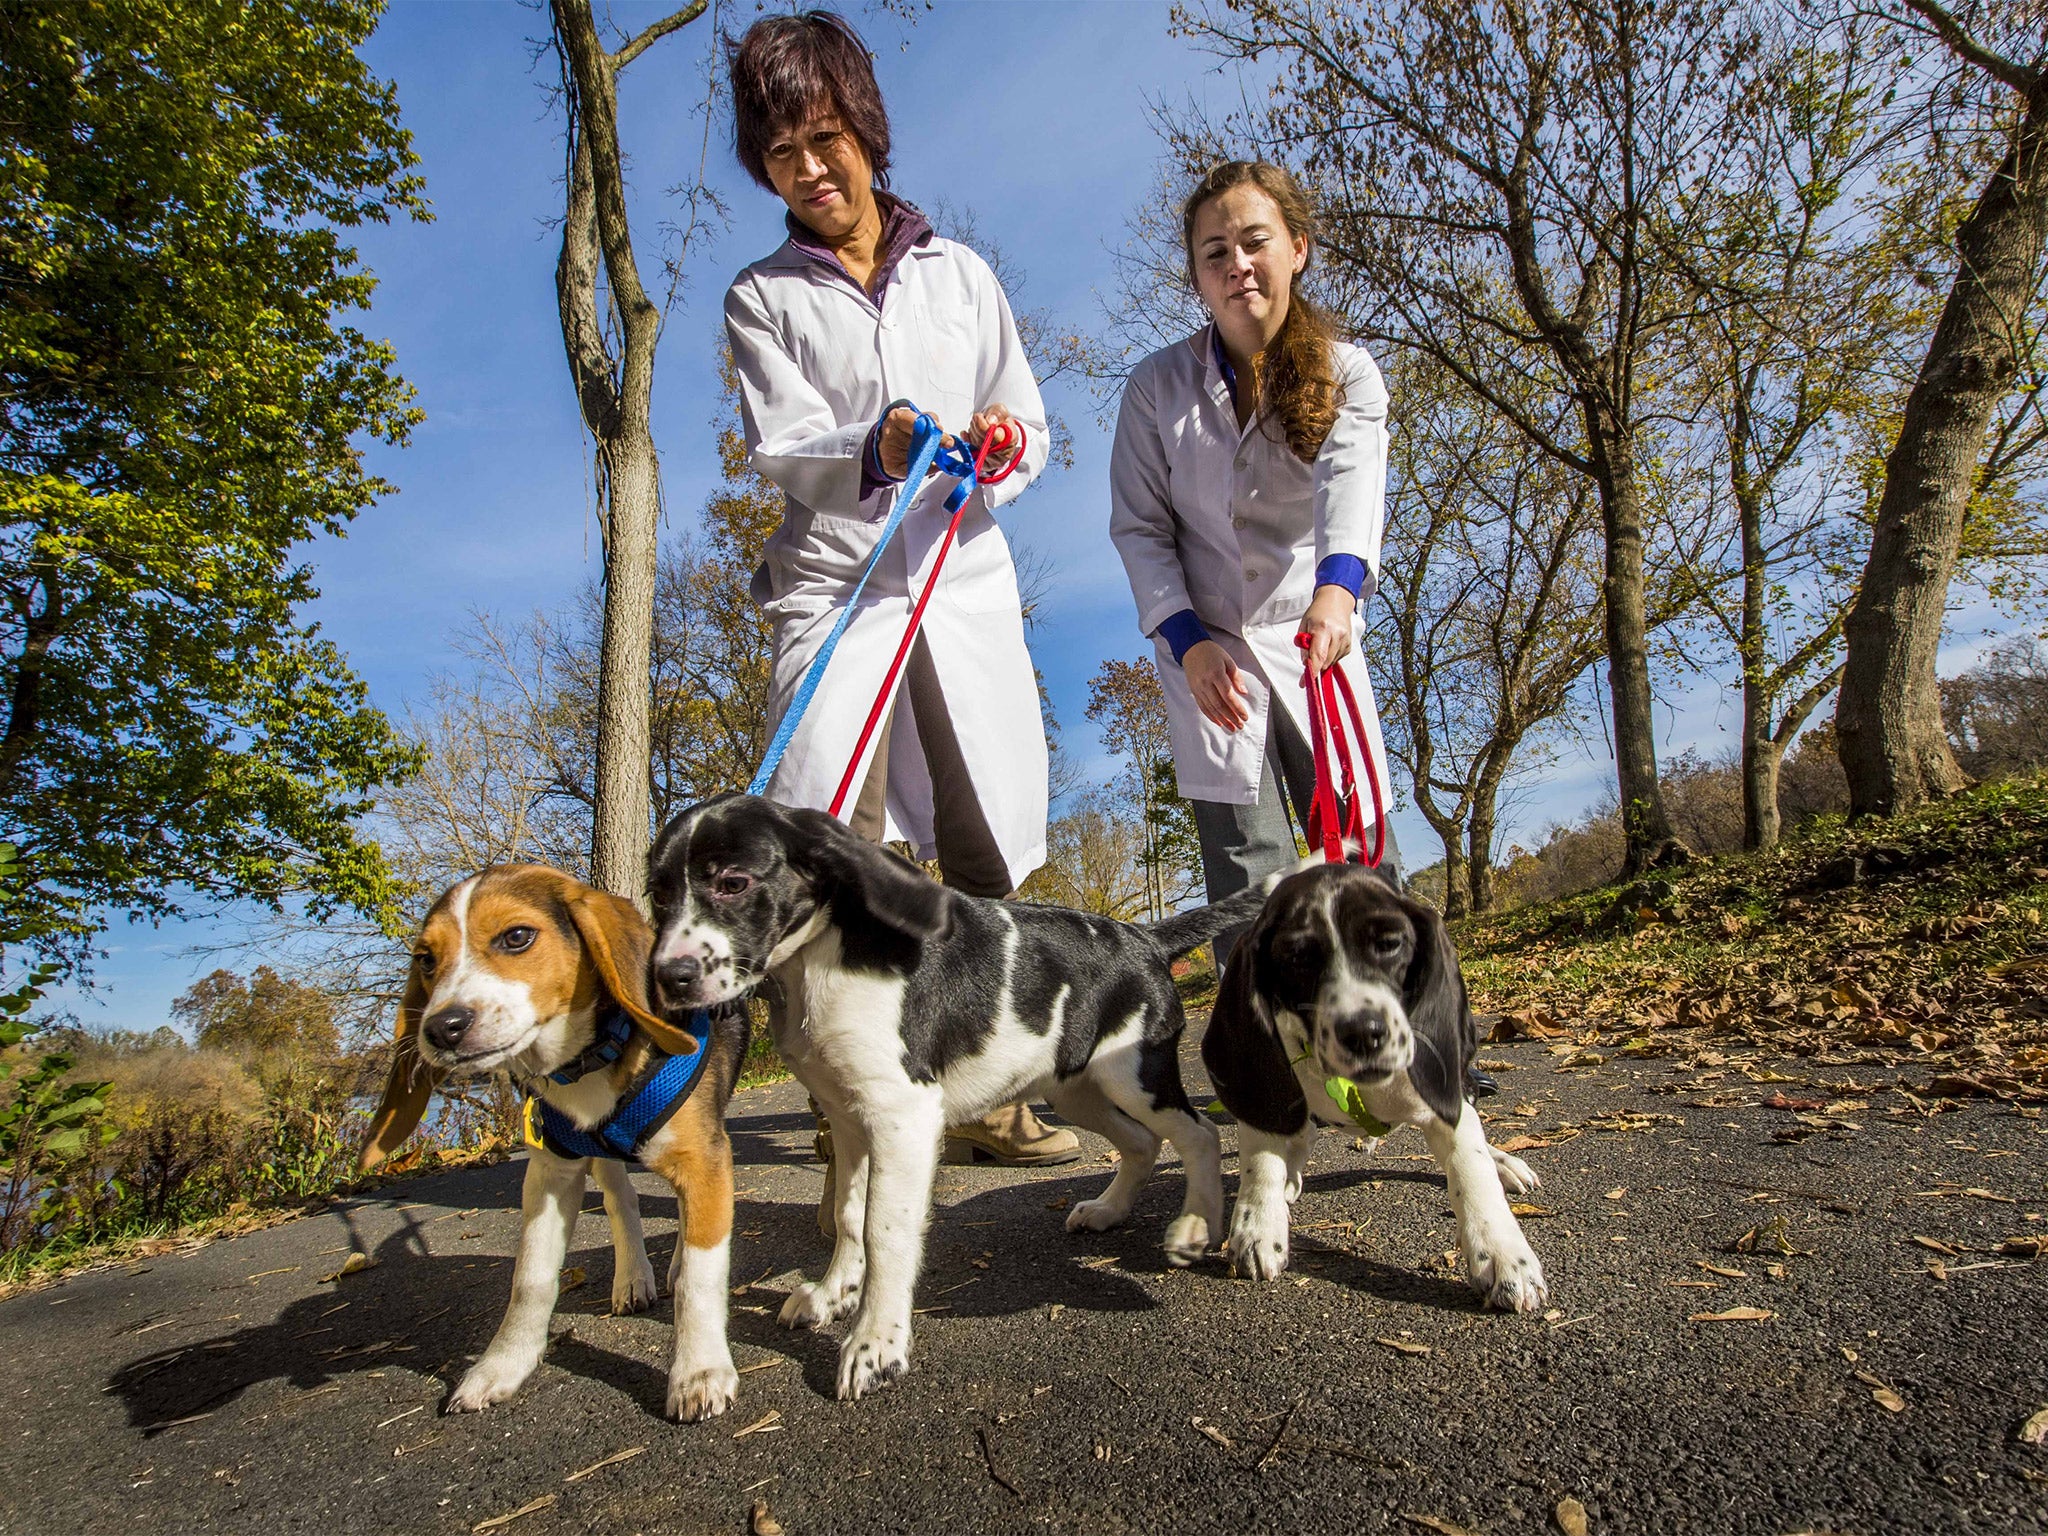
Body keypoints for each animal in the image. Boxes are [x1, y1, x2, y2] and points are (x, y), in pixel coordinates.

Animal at [360, 872, 753, 1425]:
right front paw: (502, 1365)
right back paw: (633, 1278)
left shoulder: (705, 1160)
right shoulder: (551, 1176)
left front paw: (699, 1371)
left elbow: (701, 1275)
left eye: (517, 937)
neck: (588, 1059)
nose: (440, 1028)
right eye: (426, 960)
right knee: (620, 1199)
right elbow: (530, 1279)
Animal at [1204, 860, 1540, 1318]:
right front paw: (1258, 1224)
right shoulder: (1267, 1089)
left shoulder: (1445, 1104)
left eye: (1390, 944)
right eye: (1296, 957)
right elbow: (1262, 1158)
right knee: (1299, 1133)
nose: (1363, 1033)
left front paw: (1503, 1253)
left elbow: (1471, 1170)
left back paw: (1504, 1163)